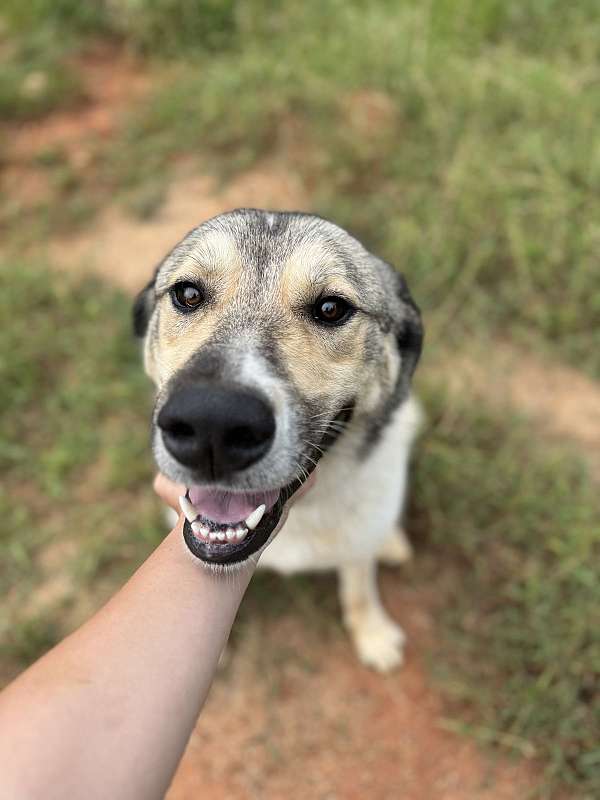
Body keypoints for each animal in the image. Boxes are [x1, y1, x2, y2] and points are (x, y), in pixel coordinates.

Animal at [132, 209, 422, 672]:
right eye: (188, 294)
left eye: (331, 308)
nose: (212, 424)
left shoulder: (357, 547)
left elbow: (359, 587)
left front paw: (373, 633)